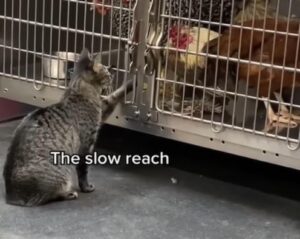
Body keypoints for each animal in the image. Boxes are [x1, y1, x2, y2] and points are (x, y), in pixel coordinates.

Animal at [2, 48, 133, 205]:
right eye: (107, 74)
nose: (112, 73)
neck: (77, 89)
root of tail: (12, 195)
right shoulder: (86, 144)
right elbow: (83, 170)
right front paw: (86, 187)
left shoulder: (102, 111)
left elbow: (114, 95)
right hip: (60, 171)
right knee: (47, 196)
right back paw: (68, 193)